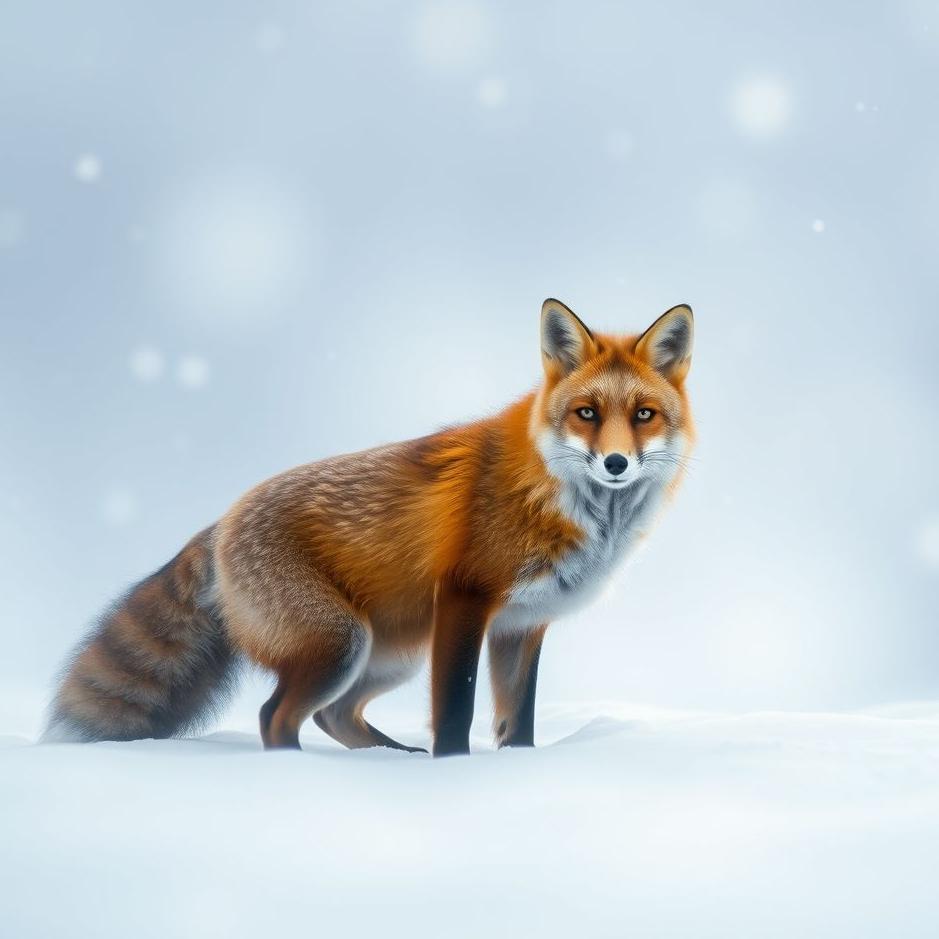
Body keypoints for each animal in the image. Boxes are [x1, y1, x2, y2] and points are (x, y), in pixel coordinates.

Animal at [45, 299, 694, 756]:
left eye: (644, 415)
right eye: (586, 413)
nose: (616, 463)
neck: (564, 500)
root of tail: (223, 519)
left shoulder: (522, 624)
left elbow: (518, 722)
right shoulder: (465, 598)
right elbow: (455, 711)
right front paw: (454, 771)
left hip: (391, 652)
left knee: (333, 715)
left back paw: (390, 758)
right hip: (340, 642)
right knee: (276, 717)